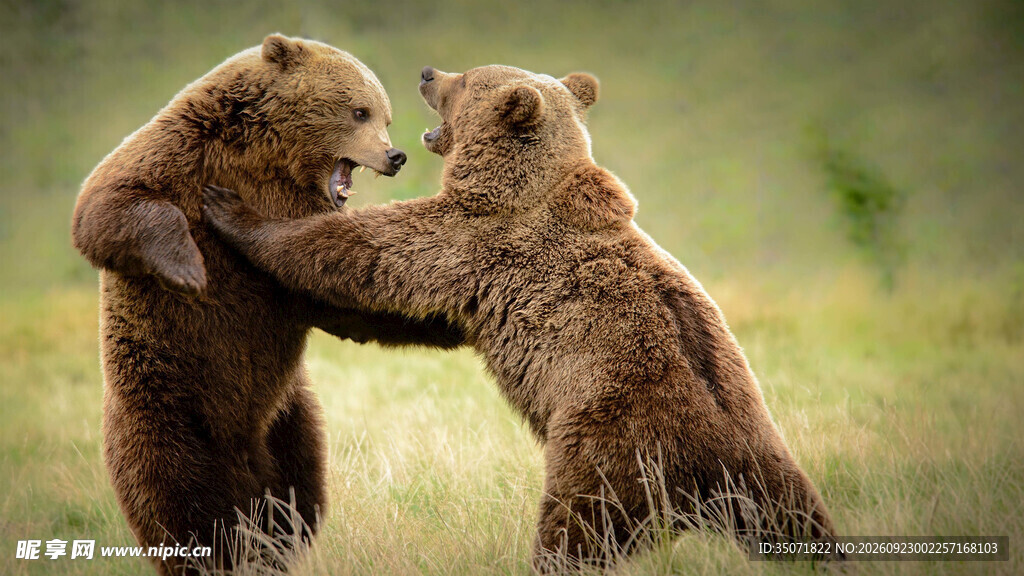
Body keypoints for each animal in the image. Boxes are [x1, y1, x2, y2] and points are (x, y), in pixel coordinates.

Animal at [70, 35, 462, 575]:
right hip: (165, 407)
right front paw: (189, 270)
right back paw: (212, 552)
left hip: (289, 421)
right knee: (178, 498)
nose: (395, 154)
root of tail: (242, 456)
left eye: (383, 115)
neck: (269, 159)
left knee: (297, 498)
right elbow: (107, 205)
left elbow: (339, 285)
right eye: (360, 111)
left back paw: (273, 545)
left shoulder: (301, 216)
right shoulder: (179, 153)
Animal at [201, 64, 839, 570]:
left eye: (467, 79)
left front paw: (232, 212)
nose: (428, 72)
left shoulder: (477, 239)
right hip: (768, 467)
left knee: (575, 531)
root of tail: (715, 463)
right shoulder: (478, 277)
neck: (513, 183)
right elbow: (418, 316)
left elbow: (372, 253)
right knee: (797, 523)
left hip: (609, 443)